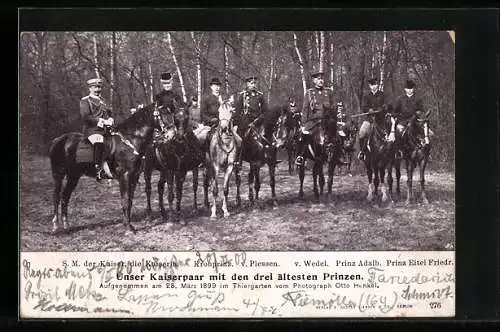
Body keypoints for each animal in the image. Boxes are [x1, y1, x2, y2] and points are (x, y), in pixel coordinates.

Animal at [49, 104, 169, 233]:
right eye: (162, 114)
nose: (170, 134)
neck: (130, 140)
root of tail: (58, 140)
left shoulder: (134, 176)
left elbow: (130, 200)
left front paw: (126, 222)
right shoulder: (125, 176)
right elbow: (125, 200)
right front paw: (129, 226)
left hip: (73, 176)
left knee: (65, 196)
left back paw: (66, 224)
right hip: (58, 174)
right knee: (56, 196)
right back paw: (55, 225)